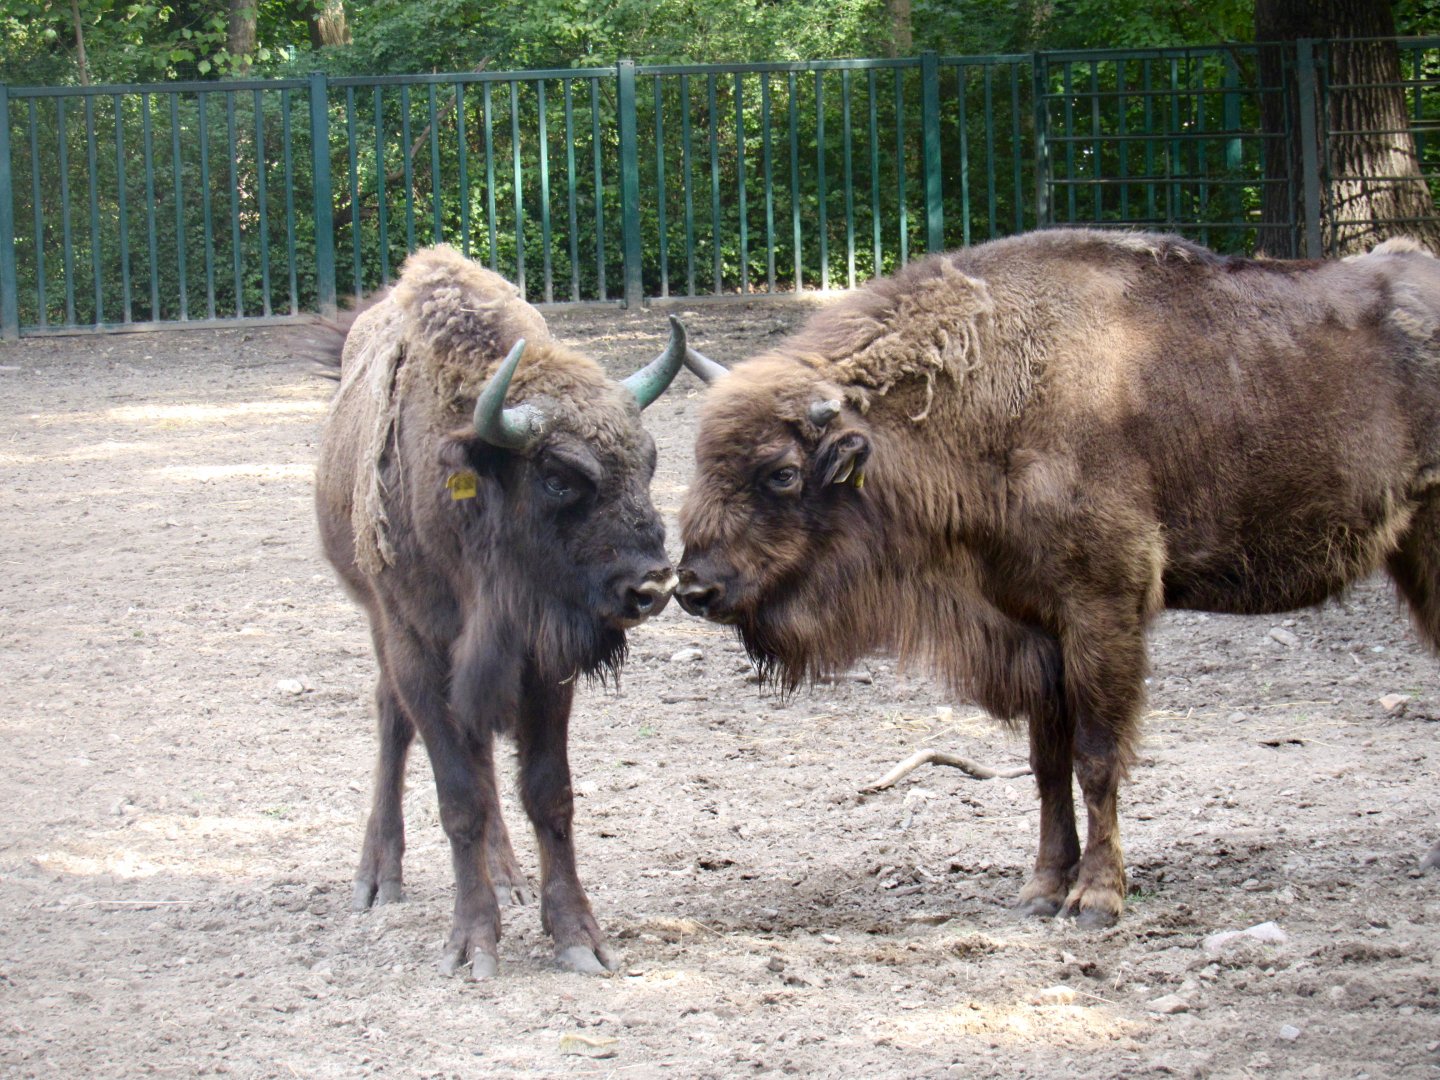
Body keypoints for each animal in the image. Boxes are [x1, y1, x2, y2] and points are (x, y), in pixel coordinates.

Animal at [315, 245, 685, 976]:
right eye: (559, 475)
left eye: (649, 461)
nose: (652, 585)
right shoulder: (421, 653)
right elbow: (458, 796)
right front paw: (472, 945)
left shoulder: (541, 664)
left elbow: (547, 792)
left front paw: (576, 937)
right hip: (378, 623)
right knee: (393, 724)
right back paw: (378, 877)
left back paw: (509, 876)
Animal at [676, 228, 1440, 927]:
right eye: (705, 459)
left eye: (781, 472)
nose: (693, 588)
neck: (997, 391)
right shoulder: (1035, 629)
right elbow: (1047, 765)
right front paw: (1041, 888)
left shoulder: (1102, 612)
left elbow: (1096, 757)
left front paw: (1097, 898)